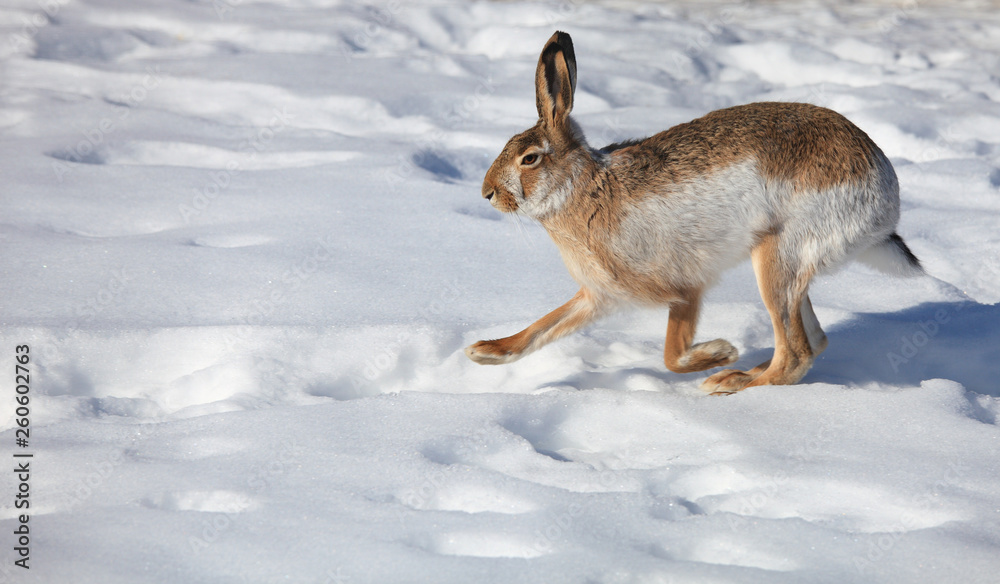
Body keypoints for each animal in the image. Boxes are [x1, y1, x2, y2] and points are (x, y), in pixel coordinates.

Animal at [465, 31, 923, 394]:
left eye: (529, 159)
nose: (487, 193)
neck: (583, 188)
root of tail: (884, 191)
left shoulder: (683, 286)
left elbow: (671, 355)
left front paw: (720, 351)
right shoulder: (599, 295)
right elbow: (544, 327)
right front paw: (484, 352)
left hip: (780, 256)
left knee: (796, 352)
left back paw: (730, 380)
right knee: (814, 342)